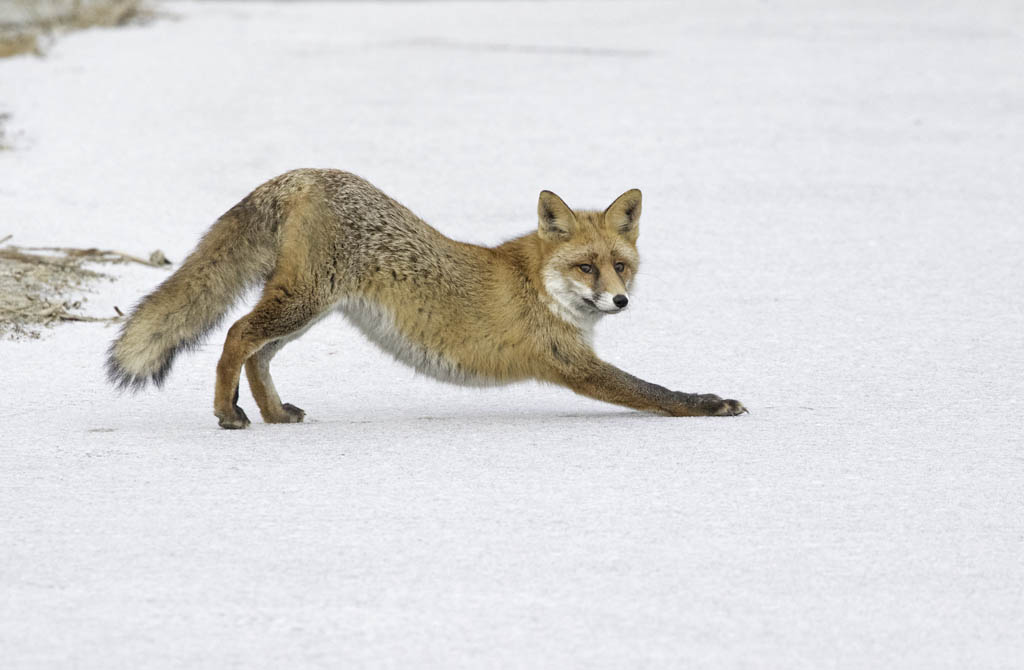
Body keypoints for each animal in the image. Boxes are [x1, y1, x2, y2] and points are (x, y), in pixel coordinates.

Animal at [105, 169, 745, 430]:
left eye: (621, 267)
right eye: (585, 267)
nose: (618, 302)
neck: (540, 286)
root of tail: (304, 173)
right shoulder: (573, 363)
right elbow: (655, 393)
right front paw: (711, 405)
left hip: (308, 308)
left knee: (256, 353)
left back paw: (274, 413)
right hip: (302, 301)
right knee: (236, 335)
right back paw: (227, 412)